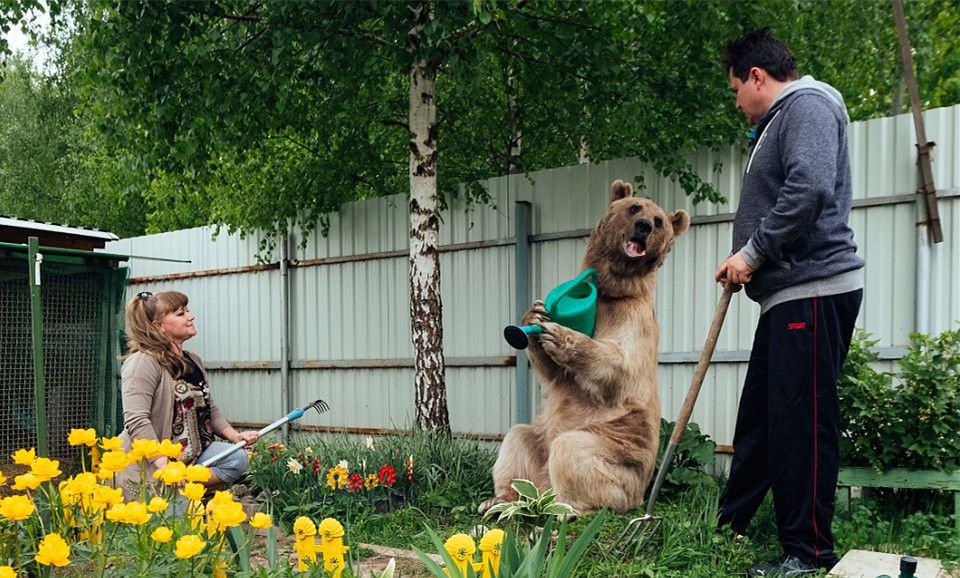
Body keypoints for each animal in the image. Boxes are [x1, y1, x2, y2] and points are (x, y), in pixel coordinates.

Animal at [480, 178, 688, 510]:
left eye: (659, 221)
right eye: (634, 207)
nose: (643, 226)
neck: (611, 290)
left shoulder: (634, 317)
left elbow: (620, 365)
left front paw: (562, 335)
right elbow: (553, 373)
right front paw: (534, 315)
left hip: (616, 455)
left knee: (573, 450)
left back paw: (567, 508)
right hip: (541, 443)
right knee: (517, 439)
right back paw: (500, 500)